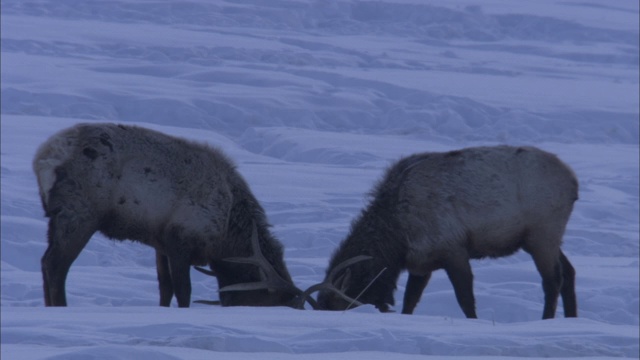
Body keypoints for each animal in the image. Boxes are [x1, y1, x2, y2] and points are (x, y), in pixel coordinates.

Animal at [33, 122, 364, 308]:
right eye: (269, 303)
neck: (227, 234)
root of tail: (44, 157)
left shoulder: (160, 242)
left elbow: (165, 290)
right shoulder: (180, 238)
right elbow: (184, 292)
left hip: (56, 216)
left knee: (46, 262)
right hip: (79, 213)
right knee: (55, 264)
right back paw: (60, 308)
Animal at [316, 145, 580, 320]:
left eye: (338, 307)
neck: (397, 239)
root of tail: (573, 182)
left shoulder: (453, 249)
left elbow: (465, 299)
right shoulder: (421, 263)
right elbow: (409, 302)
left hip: (542, 234)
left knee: (553, 279)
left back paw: (547, 320)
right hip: (545, 238)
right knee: (569, 271)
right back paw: (571, 317)